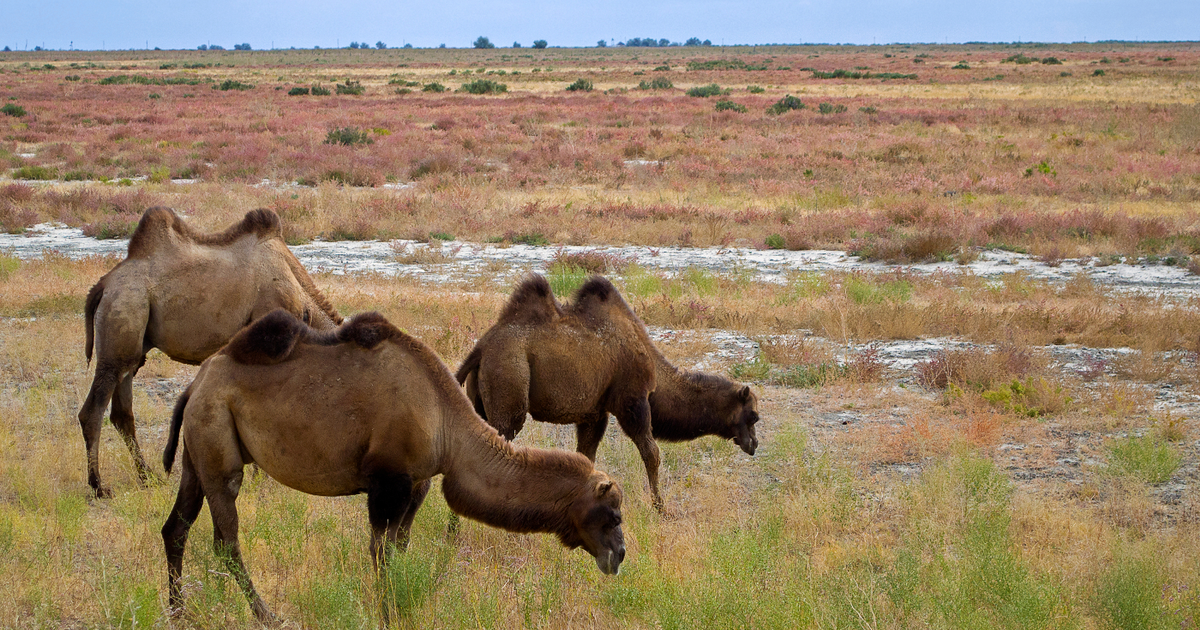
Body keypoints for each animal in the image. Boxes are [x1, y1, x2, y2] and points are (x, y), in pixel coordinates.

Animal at [78, 206, 343, 496]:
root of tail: (103, 285)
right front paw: (260, 480)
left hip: (133, 346)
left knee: (122, 413)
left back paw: (147, 477)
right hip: (123, 315)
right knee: (93, 411)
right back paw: (98, 486)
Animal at [160, 307, 628, 619]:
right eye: (611, 514)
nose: (620, 555)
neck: (446, 421)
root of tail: (196, 384)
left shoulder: (417, 482)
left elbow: (400, 548)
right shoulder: (388, 482)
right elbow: (381, 551)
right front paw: (387, 612)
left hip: (198, 449)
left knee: (177, 529)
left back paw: (180, 611)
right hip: (218, 443)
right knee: (226, 540)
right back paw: (266, 615)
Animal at [458, 274, 758, 511]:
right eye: (754, 415)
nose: (753, 444)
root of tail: (481, 348)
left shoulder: (594, 413)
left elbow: (585, 457)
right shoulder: (632, 400)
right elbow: (652, 453)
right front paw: (660, 508)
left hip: (481, 395)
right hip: (510, 379)